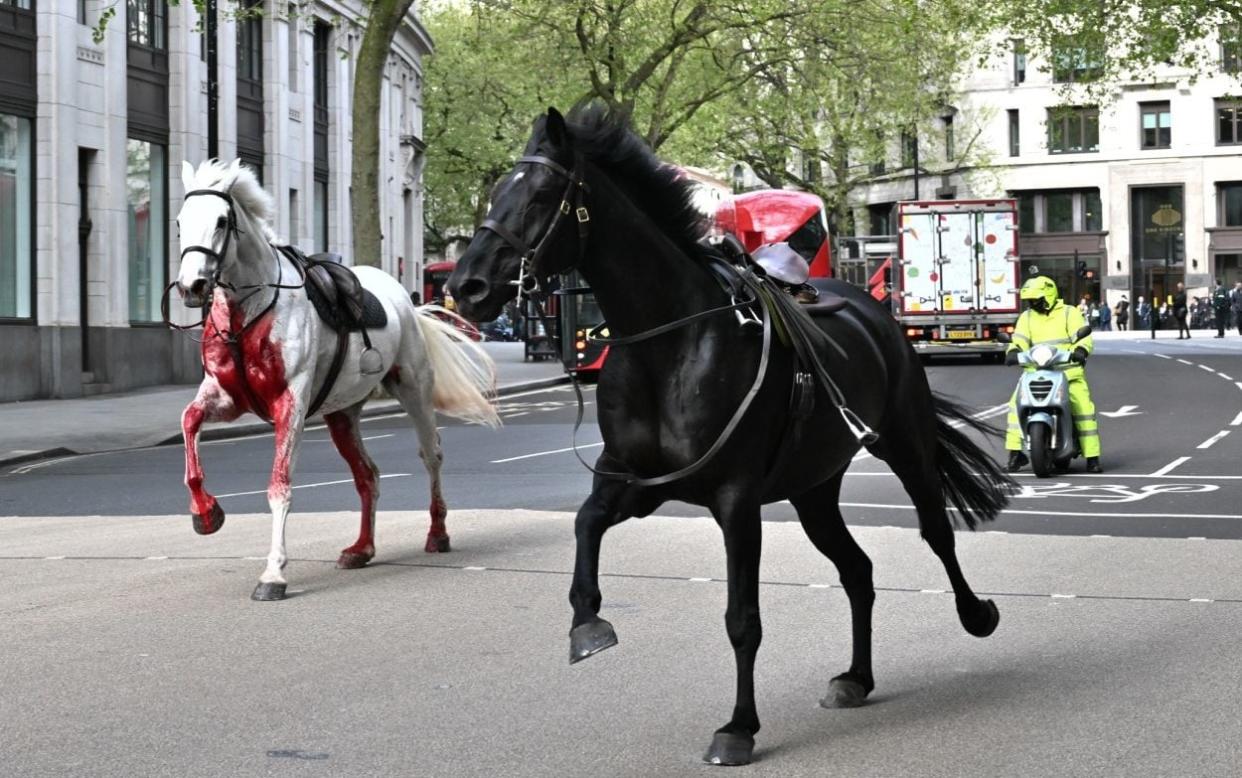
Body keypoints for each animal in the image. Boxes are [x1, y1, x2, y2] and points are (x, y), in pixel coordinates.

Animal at [171, 160, 499, 599]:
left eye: (222, 221)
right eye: (179, 221)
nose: (191, 287)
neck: (250, 311)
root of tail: (404, 299)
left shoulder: (290, 402)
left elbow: (279, 486)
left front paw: (273, 574)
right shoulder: (226, 397)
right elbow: (189, 422)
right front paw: (206, 513)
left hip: (414, 389)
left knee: (431, 455)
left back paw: (437, 533)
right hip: (342, 413)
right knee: (367, 475)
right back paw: (362, 549)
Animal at [452, 104, 1013, 765]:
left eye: (540, 194)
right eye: (495, 192)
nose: (466, 287)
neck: (668, 343)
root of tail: (872, 307)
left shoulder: (735, 500)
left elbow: (742, 618)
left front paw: (739, 727)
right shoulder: (635, 483)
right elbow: (585, 524)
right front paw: (587, 625)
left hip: (904, 443)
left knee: (934, 530)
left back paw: (975, 614)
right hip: (813, 488)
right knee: (857, 570)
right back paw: (856, 677)